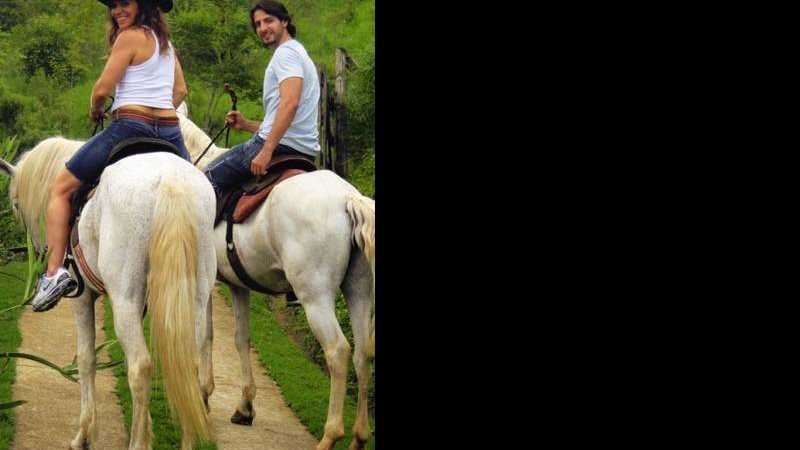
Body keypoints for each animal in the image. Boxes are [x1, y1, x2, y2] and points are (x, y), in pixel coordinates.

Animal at [0, 138, 217, 450]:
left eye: (16, 205)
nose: (41, 254)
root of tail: (172, 183)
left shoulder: (81, 297)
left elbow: (87, 358)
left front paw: (84, 434)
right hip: (196, 298)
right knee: (188, 368)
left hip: (124, 297)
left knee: (141, 366)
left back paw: (136, 444)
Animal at [180, 111, 376, 450]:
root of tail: (348, 198)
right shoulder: (238, 286)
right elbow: (241, 338)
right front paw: (245, 407)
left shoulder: (207, 282)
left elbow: (206, 335)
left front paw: (203, 394)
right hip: (359, 292)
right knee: (363, 354)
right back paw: (358, 438)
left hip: (316, 298)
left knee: (338, 351)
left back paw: (330, 435)